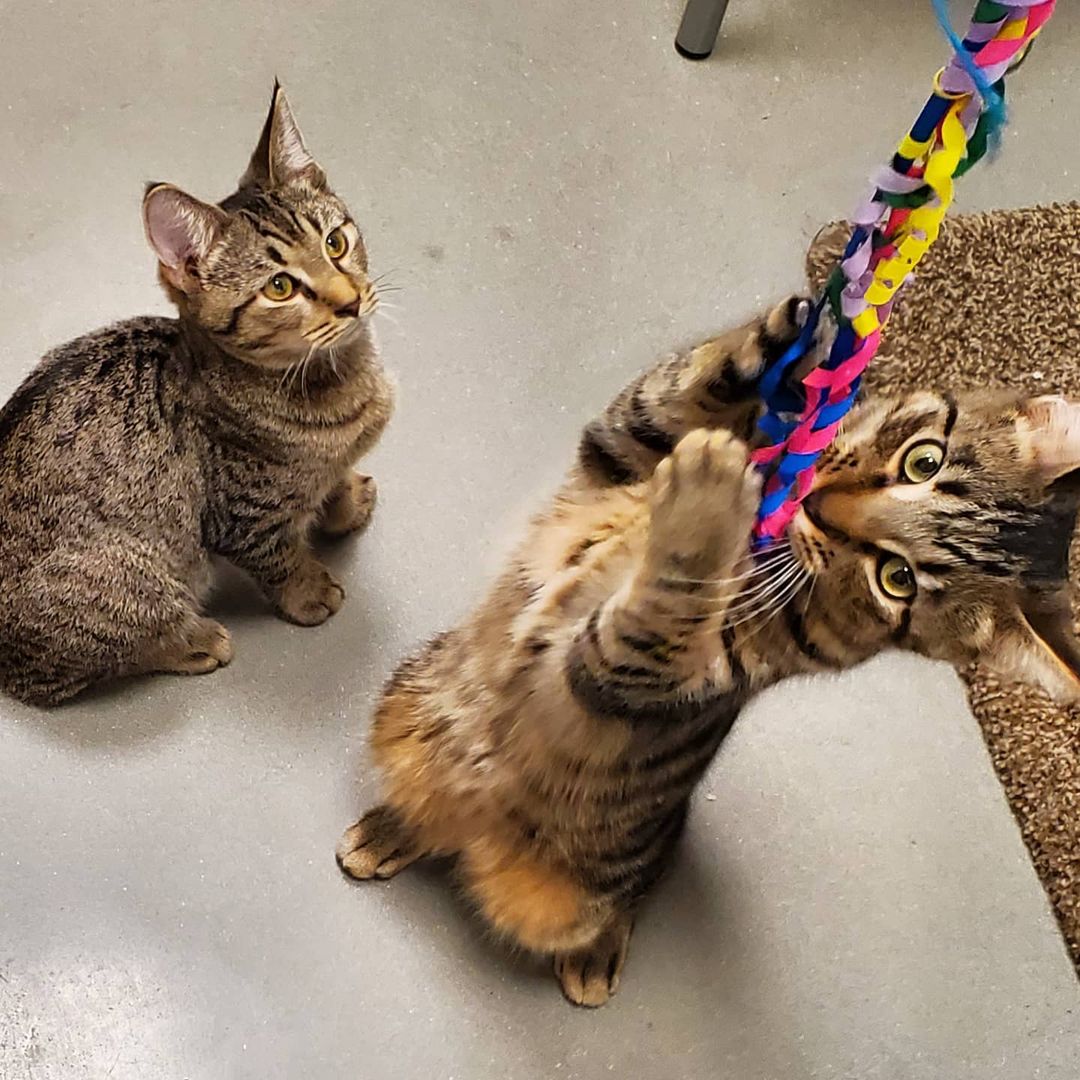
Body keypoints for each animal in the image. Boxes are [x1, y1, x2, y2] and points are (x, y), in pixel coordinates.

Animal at [0, 86, 395, 708]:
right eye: (280, 286)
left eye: (336, 242)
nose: (351, 300)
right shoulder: (244, 517)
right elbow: (280, 558)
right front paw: (309, 591)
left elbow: (329, 484)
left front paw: (344, 500)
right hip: (131, 576)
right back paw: (193, 640)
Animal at [336, 293, 1080, 1002]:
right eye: (923, 460)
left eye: (897, 578)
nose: (821, 505)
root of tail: (473, 831)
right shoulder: (620, 448)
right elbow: (680, 387)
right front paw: (796, 333)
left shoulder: (643, 664)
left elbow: (677, 583)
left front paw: (710, 497)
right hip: (404, 703)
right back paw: (390, 832)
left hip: (580, 892)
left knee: (622, 900)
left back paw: (592, 955)